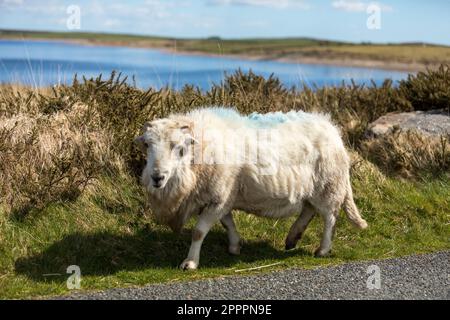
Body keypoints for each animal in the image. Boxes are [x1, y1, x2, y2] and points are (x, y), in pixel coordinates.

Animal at [135, 107, 368, 270]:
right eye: (147, 145)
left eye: (180, 148)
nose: (157, 177)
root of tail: (331, 128)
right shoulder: (223, 196)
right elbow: (227, 222)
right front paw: (234, 246)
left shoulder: (221, 195)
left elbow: (198, 232)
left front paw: (190, 263)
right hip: (313, 189)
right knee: (309, 210)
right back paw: (292, 238)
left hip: (329, 185)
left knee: (329, 217)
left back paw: (322, 249)